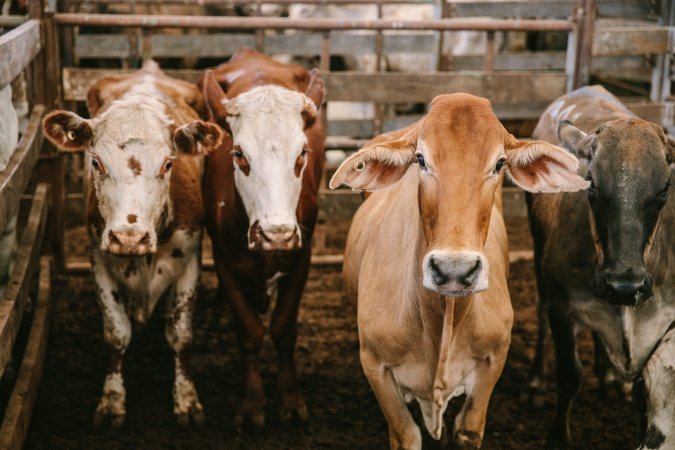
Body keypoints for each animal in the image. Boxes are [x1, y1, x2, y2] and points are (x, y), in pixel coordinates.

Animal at [43, 60, 224, 428]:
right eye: (95, 161)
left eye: (168, 163)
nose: (129, 237)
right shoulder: (98, 259)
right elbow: (116, 334)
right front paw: (112, 400)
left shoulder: (190, 258)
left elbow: (180, 335)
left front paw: (186, 400)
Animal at [197, 47, 326, 428]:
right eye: (239, 154)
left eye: (302, 154)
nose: (277, 234)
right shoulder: (223, 258)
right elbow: (249, 331)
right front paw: (251, 402)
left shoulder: (302, 255)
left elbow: (283, 327)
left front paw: (290, 397)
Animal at [330, 93, 588, 448]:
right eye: (421, 159)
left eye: (499, 164)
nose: (454, 269)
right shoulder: (374, 365)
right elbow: (406, 433)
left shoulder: (494, 358)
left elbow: (468, 428)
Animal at [528, 85, 675, 450]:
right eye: (591, 182)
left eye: (664, 188)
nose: (625, 285)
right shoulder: (562, 308)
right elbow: (569, 377)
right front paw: (557, 438)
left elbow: (642, 394)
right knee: (538, 309)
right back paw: (536, 381)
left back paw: (607, 377)